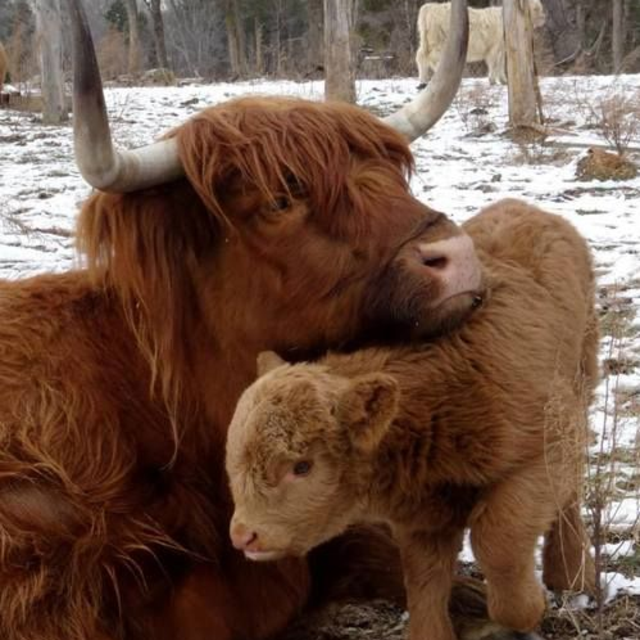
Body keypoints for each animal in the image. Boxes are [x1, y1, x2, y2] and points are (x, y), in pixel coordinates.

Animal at [226, 201, 598, 640]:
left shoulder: (541, 455)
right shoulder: (422, 512)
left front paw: (524, 611)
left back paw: (572, 573)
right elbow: (424, 579)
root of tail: (523, 207)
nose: (245, 535)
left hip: (579, 389)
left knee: (569, 494)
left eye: (302, 467)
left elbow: (498, 539)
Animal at [416, 0, 546, 87]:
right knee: (432, 58)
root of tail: (429, 7)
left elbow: (501, 64)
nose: (544, 18)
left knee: (421, 57)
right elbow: (494, 63)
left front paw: (503, 80)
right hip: (439, 42)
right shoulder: (494, 47)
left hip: (427, 42)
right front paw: (492, 80)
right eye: (536, 8)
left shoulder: (501, 48)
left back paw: (423, 81)